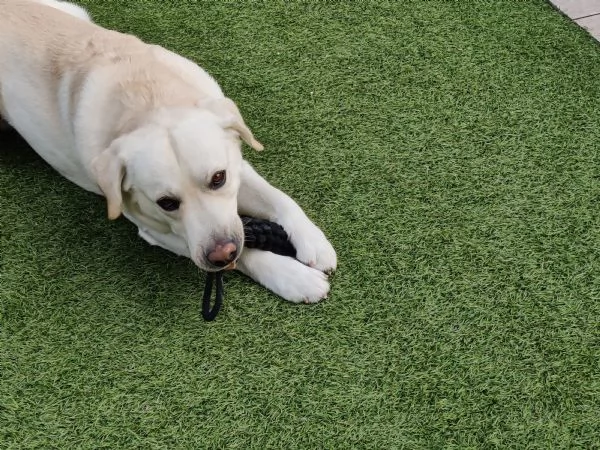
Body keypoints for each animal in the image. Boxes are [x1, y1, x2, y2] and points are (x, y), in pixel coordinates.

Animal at [0, 0, 336, 302]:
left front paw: (313, 241)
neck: (150, 100)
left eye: (218, 178)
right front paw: (294, 277)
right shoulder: (157, 231)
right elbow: (245, 253)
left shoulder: (237, 164)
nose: (221, 253)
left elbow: (278, 197)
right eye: (166, 203)